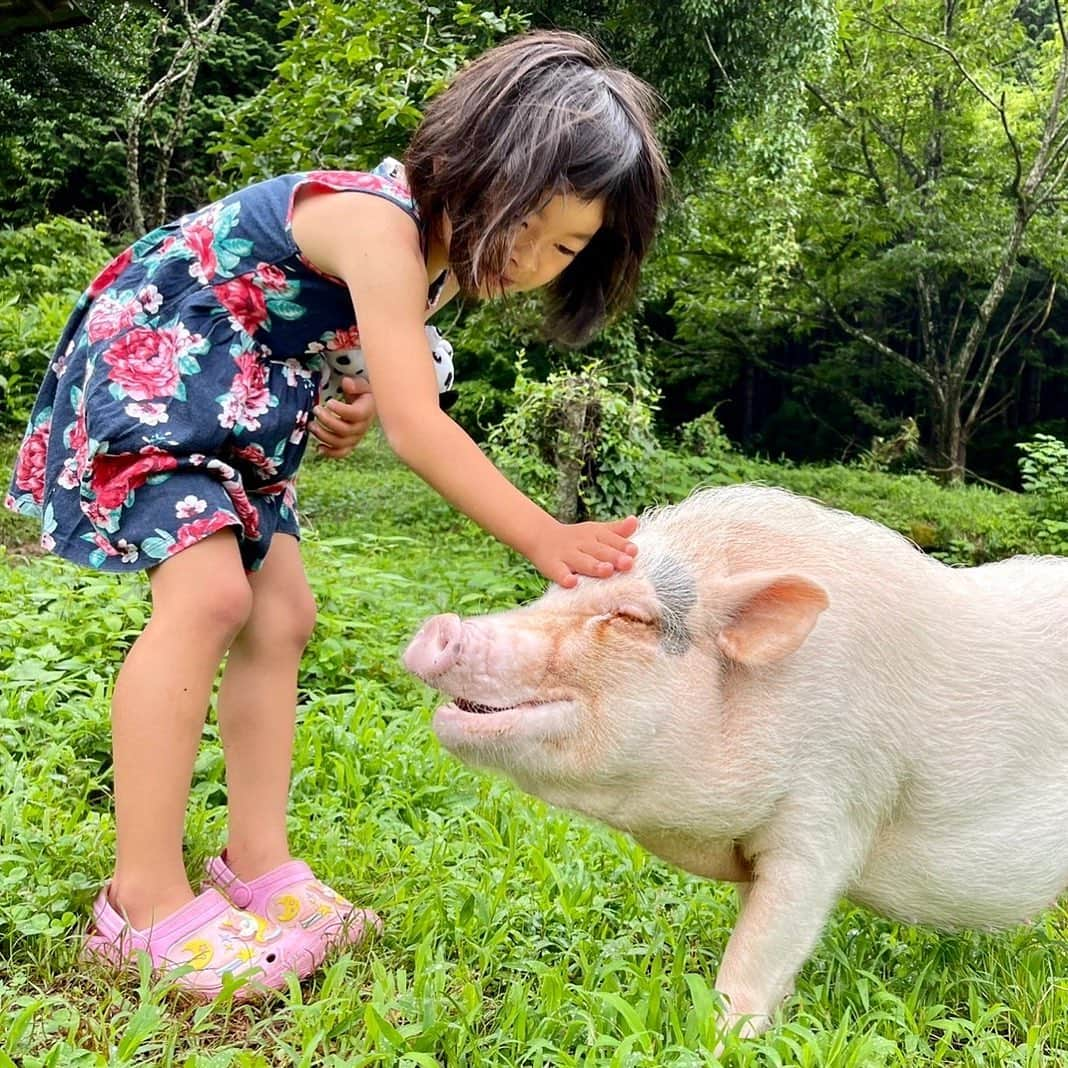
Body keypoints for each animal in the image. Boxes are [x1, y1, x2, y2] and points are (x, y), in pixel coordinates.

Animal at [399, 489, 1068, 1038]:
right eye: (549, 591)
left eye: (631, 617)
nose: (439, 627)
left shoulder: (832, 813)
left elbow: (756, 955)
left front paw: (723, 1040)